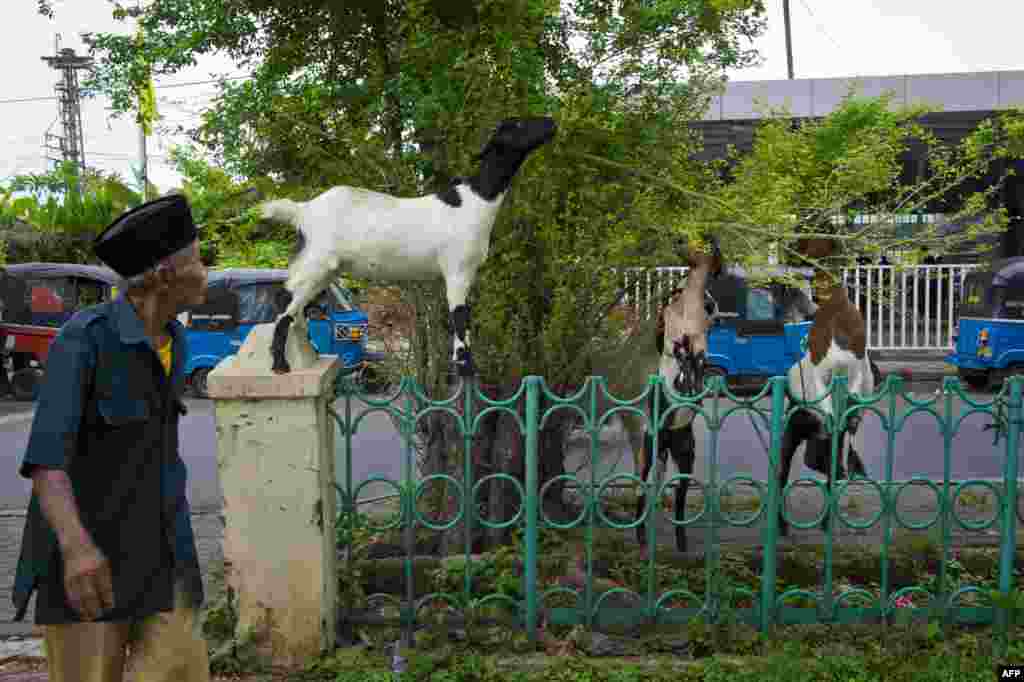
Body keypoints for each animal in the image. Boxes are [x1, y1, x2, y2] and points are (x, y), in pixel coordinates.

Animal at [260, 115, 557, 372]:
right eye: (517, 125)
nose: (551, 122)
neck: (476, 200)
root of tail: (303, 211)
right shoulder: (457, 270)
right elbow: (459, 316)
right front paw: (465, 365)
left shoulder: (468, 272)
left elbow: (464, 318)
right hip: (317, 261)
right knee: (284, 301)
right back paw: (280, 365)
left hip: (325, 269)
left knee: (295, 302)